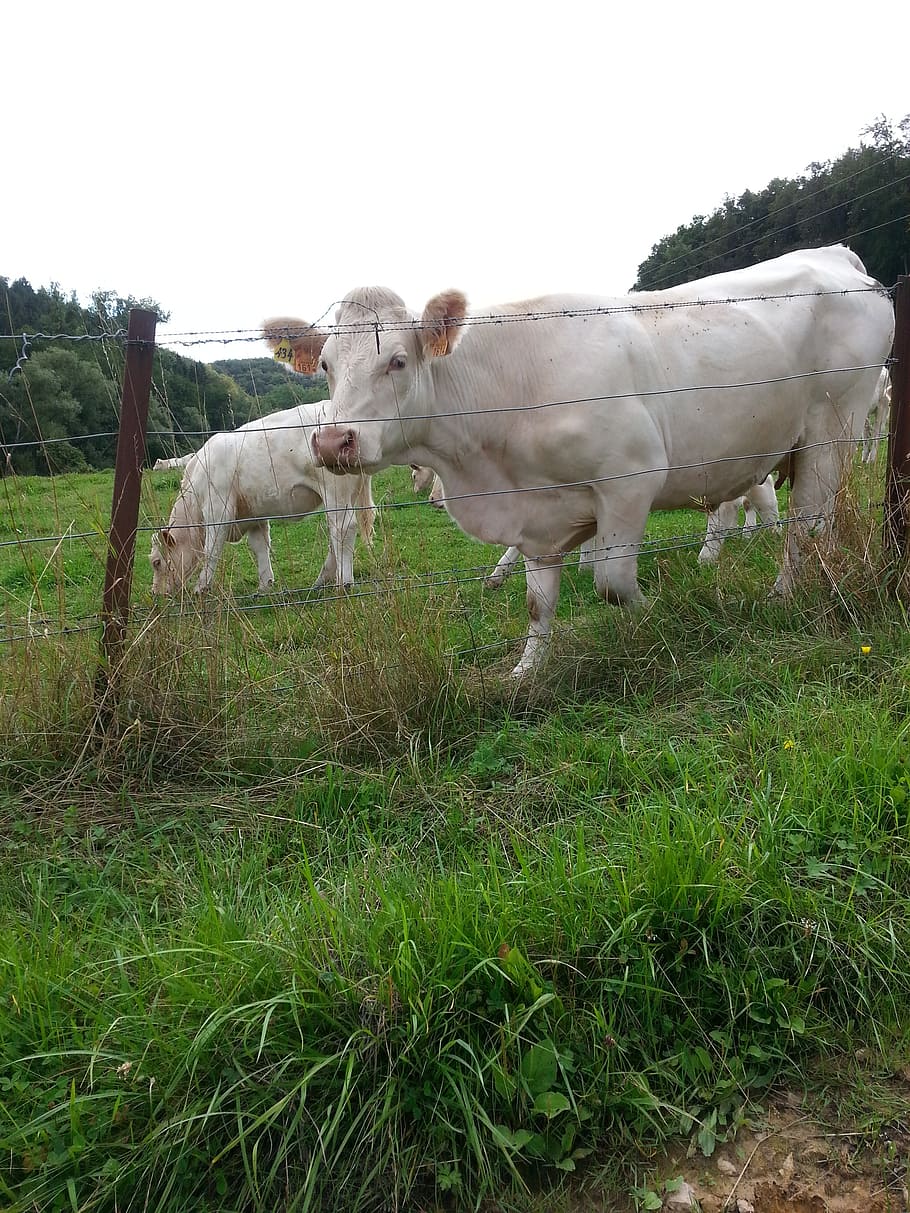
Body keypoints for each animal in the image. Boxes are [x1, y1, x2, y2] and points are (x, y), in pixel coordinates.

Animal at [149, 401, 375, 595]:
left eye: (156, 562)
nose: (155, 593)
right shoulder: (254, 515)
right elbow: (260, 546)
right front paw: (265, 585)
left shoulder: (218, 510)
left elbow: (212, 549)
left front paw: (201, 587)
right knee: (336, 536)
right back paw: (322, 580)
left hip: (336, 490)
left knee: (344, 528)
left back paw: (344, 583)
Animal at [267, 246, 894, 677]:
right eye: (324, 365)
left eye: (397, 361)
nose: (333, 443)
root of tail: (833, 257)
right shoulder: (536, 516)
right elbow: (536, 603)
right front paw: (526, 672)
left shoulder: (630, 478)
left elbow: (613, 582)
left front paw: (654, 620)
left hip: (832, 426)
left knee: (805, 523)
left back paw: (784, 594)